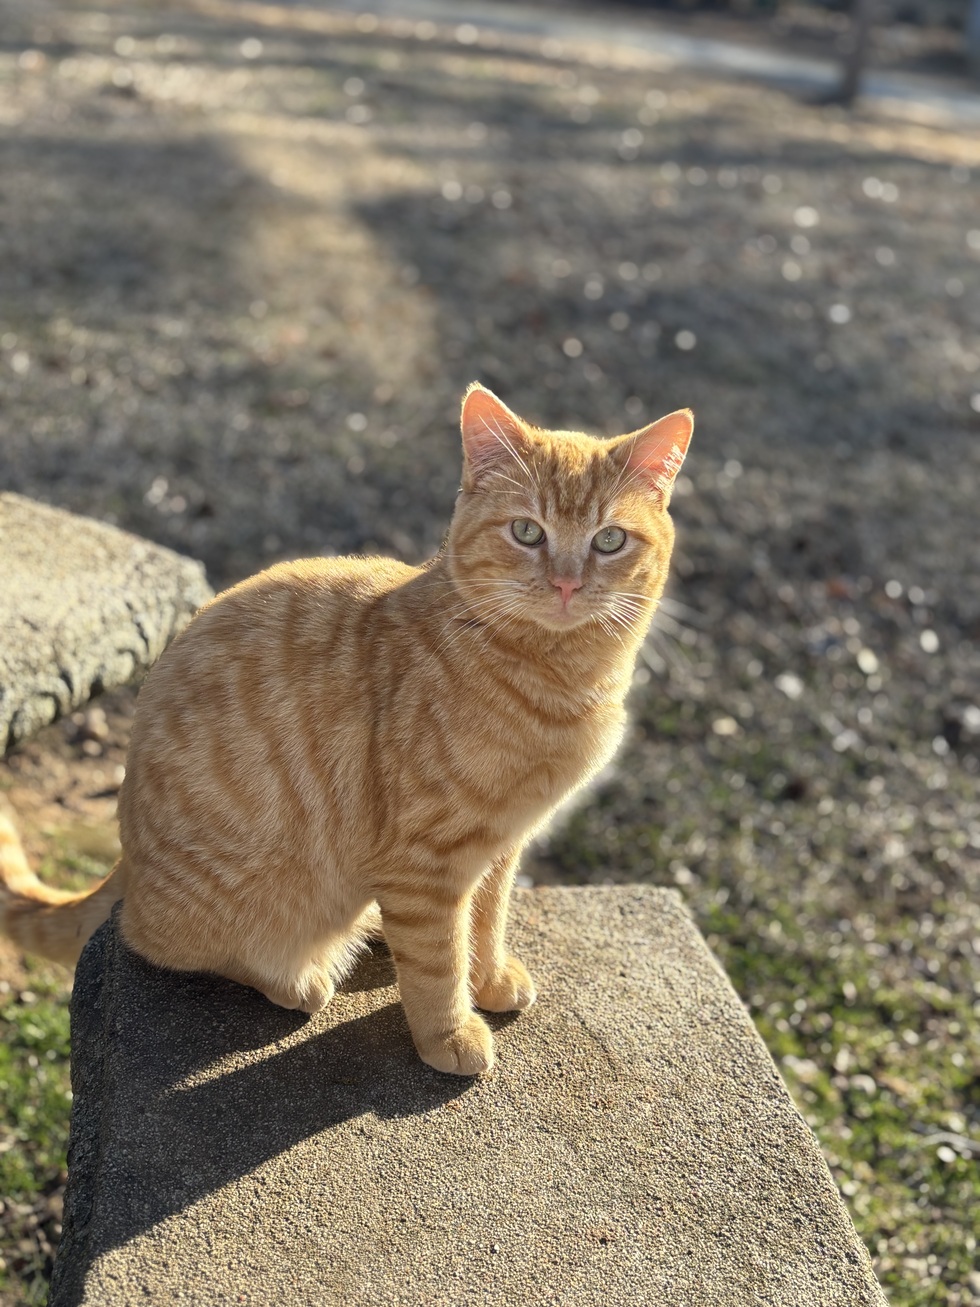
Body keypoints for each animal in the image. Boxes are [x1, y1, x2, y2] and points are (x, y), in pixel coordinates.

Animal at [0, 383, 692, 1075]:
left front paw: (490, 979)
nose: (567, 583)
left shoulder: (501, 847)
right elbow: (437, 966)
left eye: (609, 540)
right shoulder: (426, 859)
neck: (557, 678)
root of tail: (126, 854)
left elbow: (486, 923)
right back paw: (301, 978)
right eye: (528, 531)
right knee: (150, 937)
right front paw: (449, 1036)